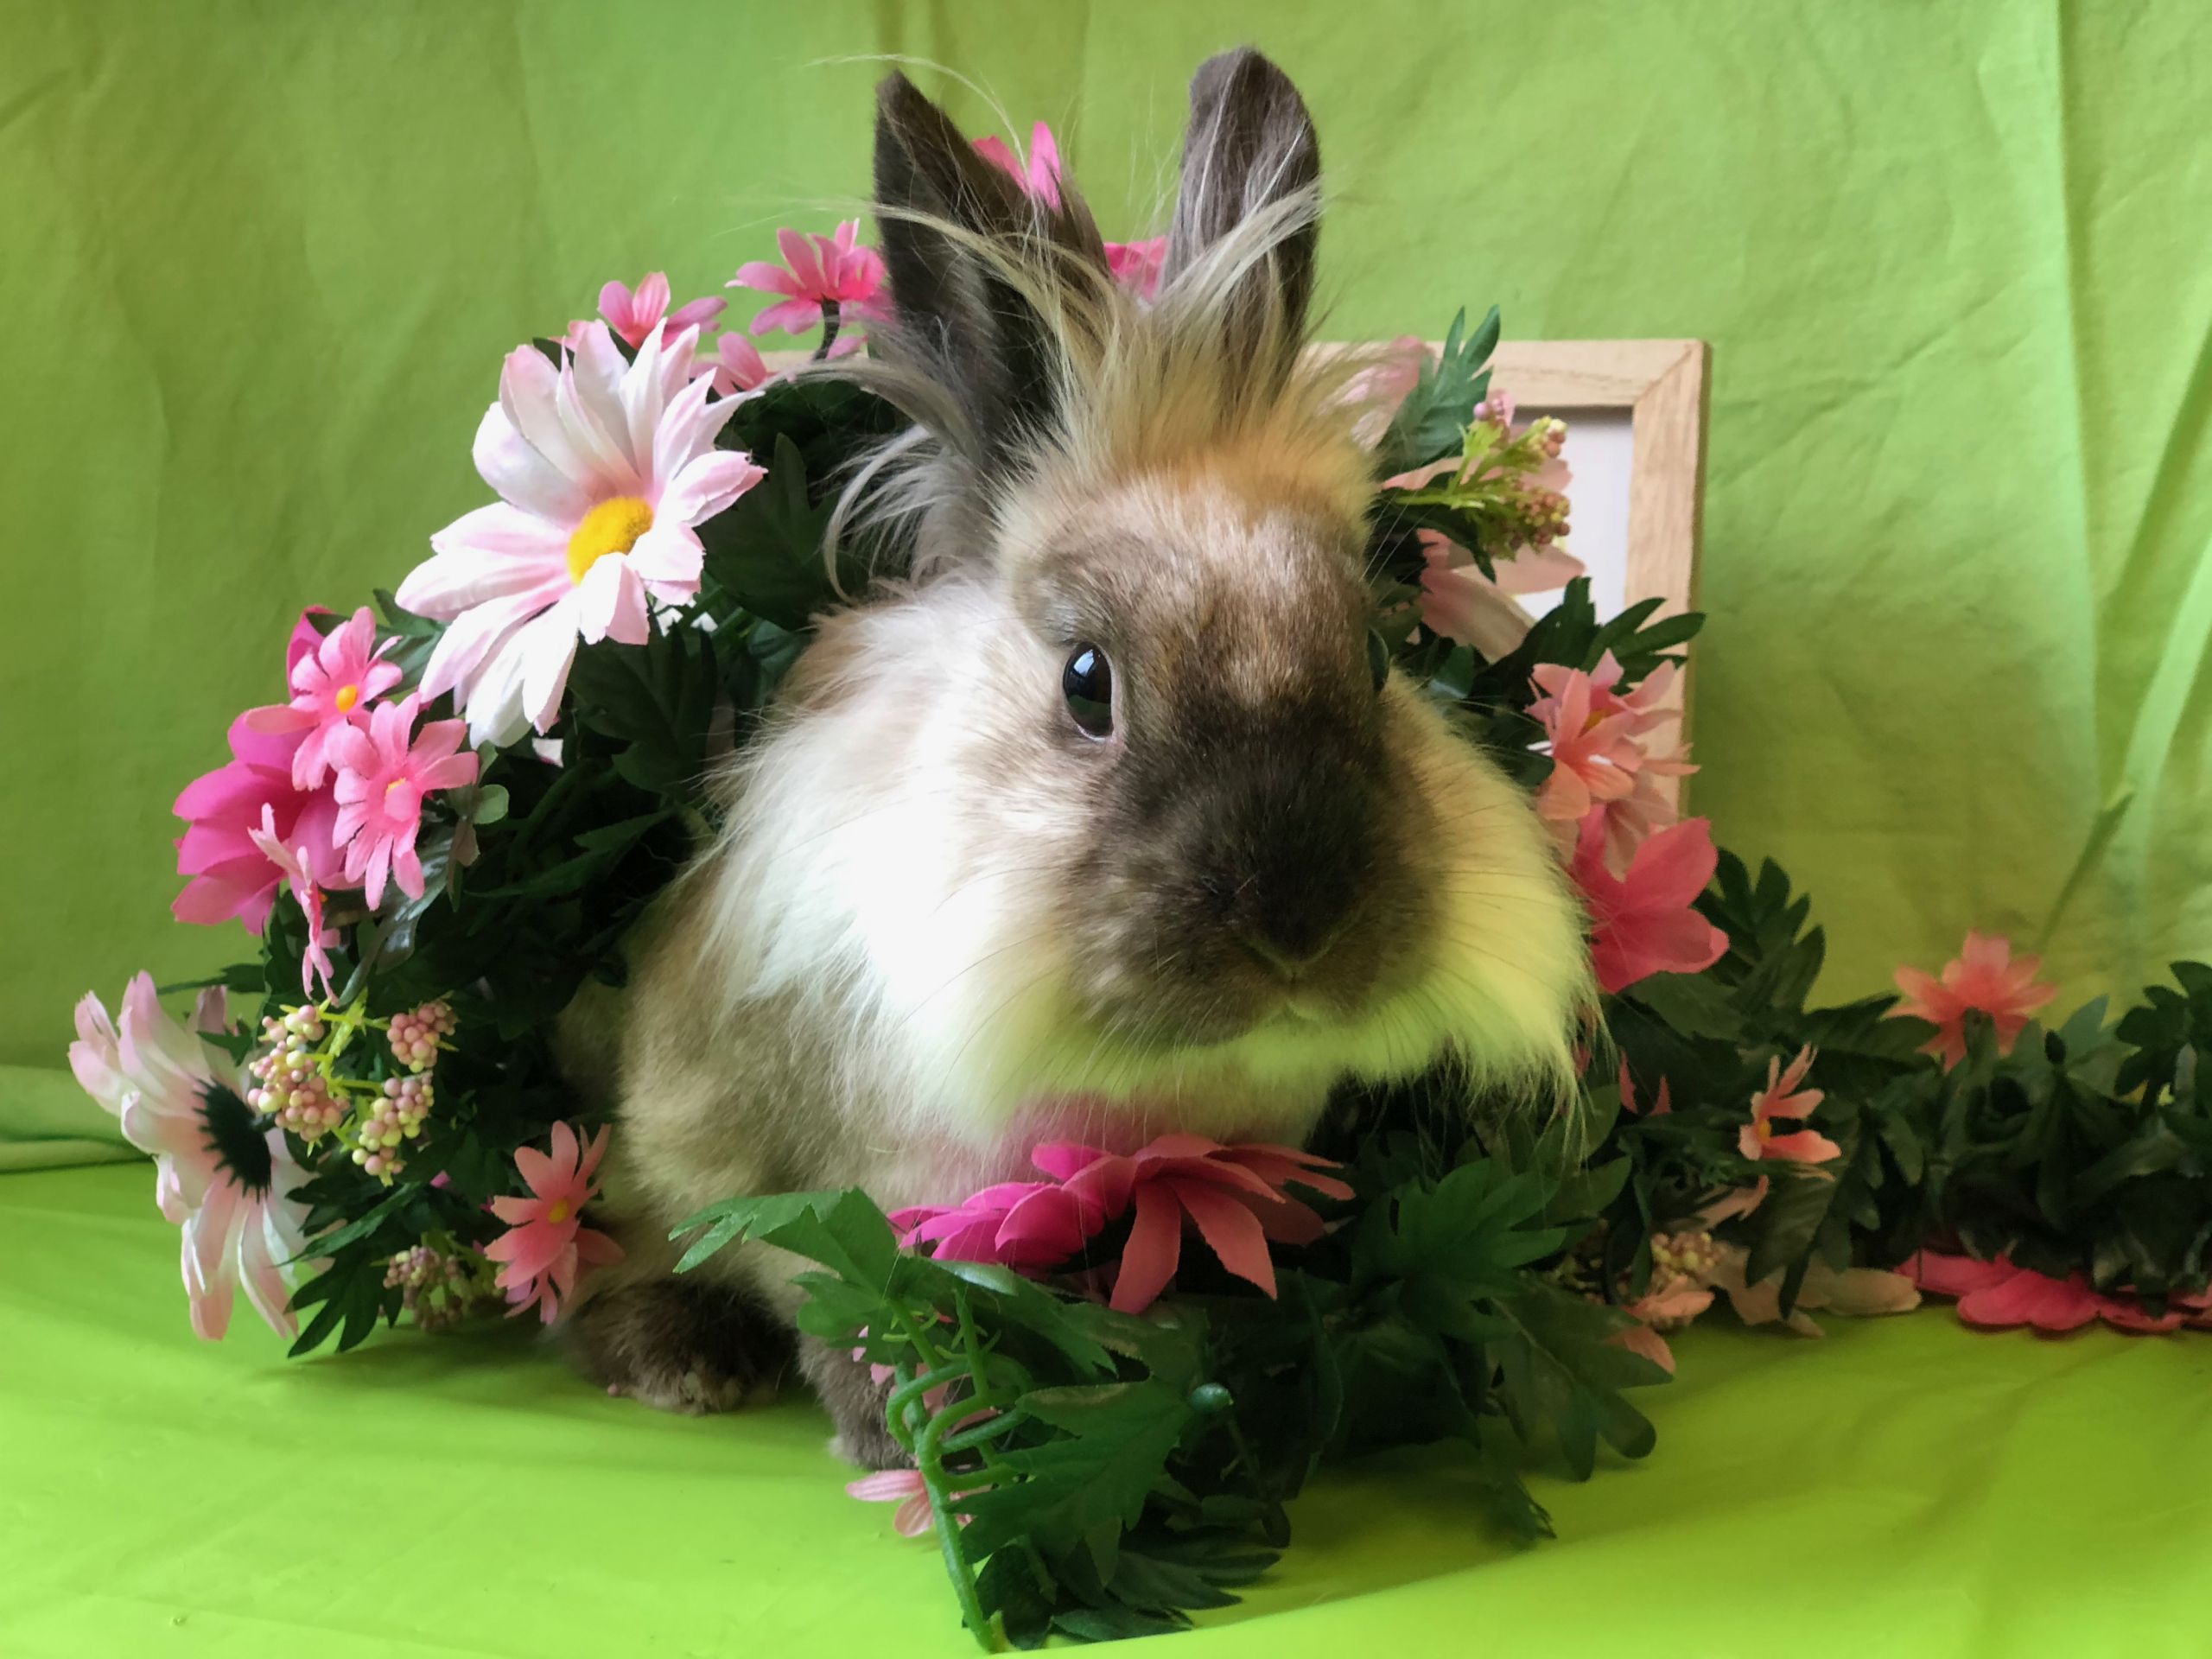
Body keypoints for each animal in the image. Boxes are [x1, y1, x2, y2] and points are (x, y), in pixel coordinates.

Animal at [562, 49, 1592, 1466]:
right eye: (1087, 683)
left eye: (1379, 662)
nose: (1299, 927)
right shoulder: (804, 1177)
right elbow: (833, 1293)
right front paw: (905, 1430)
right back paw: (681, 1359)